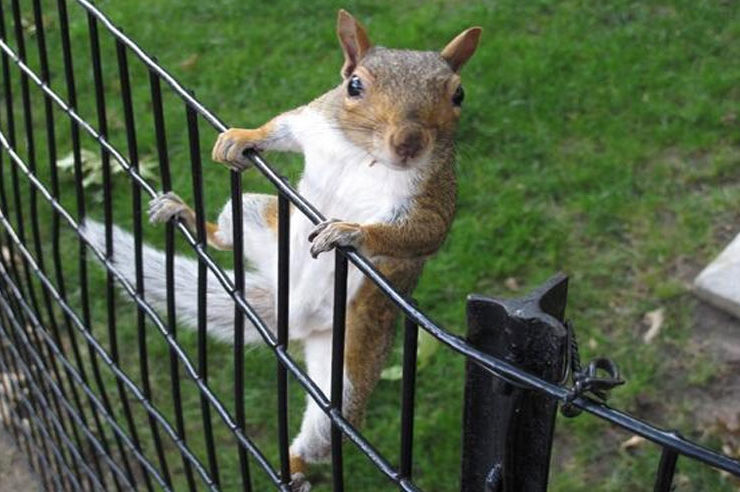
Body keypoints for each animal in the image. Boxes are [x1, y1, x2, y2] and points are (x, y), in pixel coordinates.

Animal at [84, 10, 480, 490]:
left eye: (458, 94)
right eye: (354, 86)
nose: (408, 143)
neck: (364, 155)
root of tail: (291, 314)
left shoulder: (432, 195)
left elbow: (423, 232)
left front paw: (351, 231)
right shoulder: (315, 121)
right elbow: (283, 126)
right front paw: (240, 136)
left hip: (348, 362)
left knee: (323, 436)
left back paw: (291, 469)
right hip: (254, 213)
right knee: (227, 233)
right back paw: (187, 215)